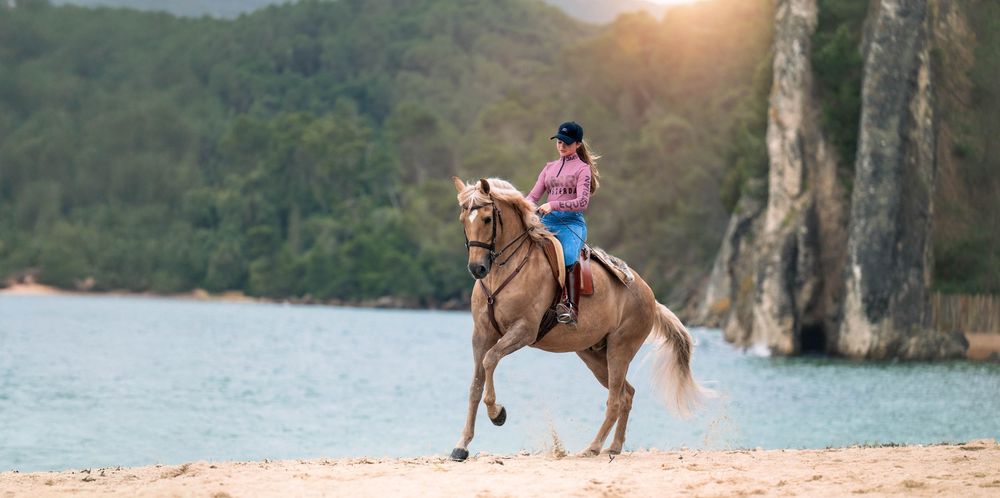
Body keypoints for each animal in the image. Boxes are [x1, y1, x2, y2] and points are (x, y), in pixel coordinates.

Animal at [449, 176, 706, 461]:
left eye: (486, 219)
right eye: (463, 220)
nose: (477, 268)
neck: (504, 272)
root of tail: (649, 294)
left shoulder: (523, 331)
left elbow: (491, 360)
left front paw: (498, 413)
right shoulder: (481, 335)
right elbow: (476, 385)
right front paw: (462, 445)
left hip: (619, 350)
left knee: (616, 399)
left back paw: (592, 447)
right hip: (593, 356)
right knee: (627, 394)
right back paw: (614, 446)